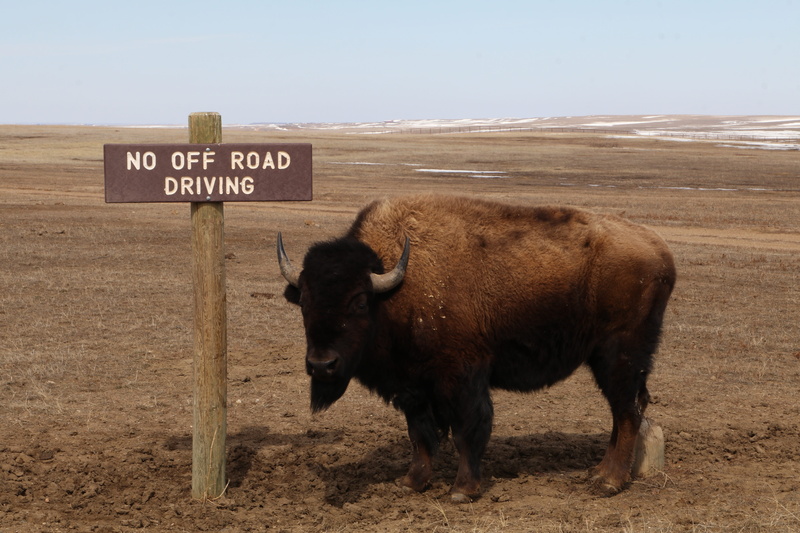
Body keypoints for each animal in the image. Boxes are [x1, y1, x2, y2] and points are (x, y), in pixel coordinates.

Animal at [277, 194, 675, 502]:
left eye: (359, 302)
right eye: (305, 302)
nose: (322, 365)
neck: (395, 288)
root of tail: (660, 250)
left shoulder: (462, 377)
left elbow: (467, 428)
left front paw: (463, 490)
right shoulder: (413, 386)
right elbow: (419, 434)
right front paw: (412, 483)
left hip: (619, 355)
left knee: (627, 410)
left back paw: (609, 482)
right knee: (624, 410)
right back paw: (598, 472)